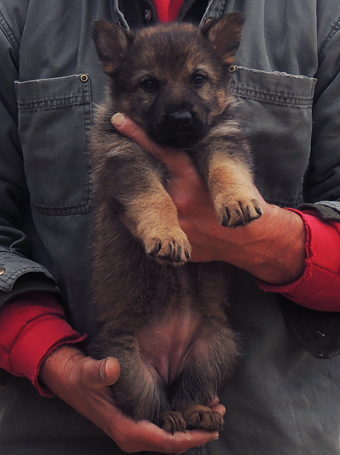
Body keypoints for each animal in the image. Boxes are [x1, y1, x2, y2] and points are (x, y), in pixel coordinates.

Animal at [89, 13, 262, 434]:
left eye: (198, 79)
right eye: (149, 84)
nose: (182, 117)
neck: (177, 146)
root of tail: (167, 363)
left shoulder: (221, 140)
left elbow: (226, 170)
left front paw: (238, 200)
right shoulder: (128, 162)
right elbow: (157, 198)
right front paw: (167, 235)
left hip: (217, 347)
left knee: (191, 388)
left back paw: (194, 411)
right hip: (126, 364)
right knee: (147, 406)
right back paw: (167, 417)